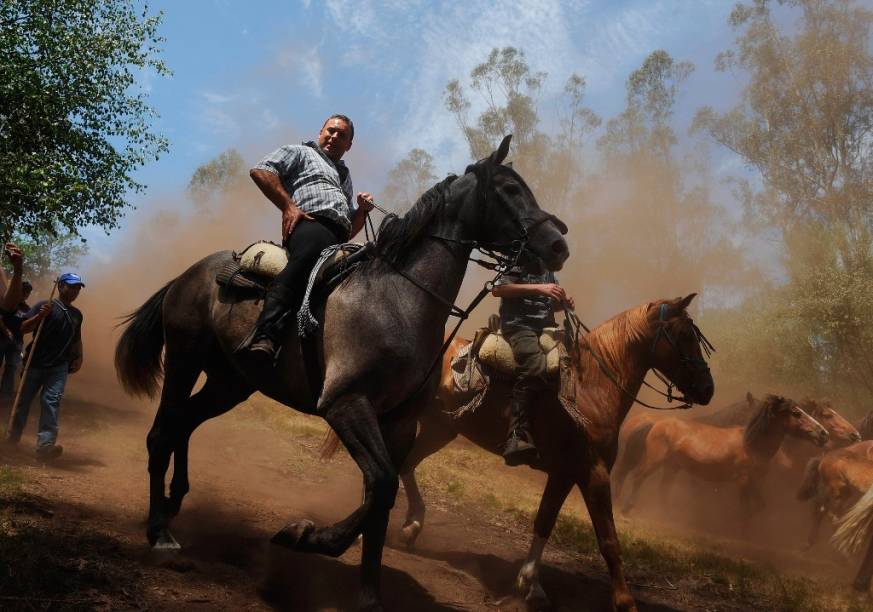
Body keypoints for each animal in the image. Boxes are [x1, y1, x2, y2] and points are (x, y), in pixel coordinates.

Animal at [114, 136, 564, 608]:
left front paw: (367, 595)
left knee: (183, 425)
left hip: (229, 383)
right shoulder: (345, 404)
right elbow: (381, 485)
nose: (559, 244)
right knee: (161, 434)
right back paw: (160, 532)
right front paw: (303, 535)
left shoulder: (399, 423)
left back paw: (174, 502)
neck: (397, 297)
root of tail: (191, 272)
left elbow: (380, 501)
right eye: (510, 189)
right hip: (184, 361)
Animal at [608, 392, 828, 520]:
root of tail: (656, 423)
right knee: (638, 477)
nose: (823, 434)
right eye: (796, 413)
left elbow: (758, 507)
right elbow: (746, 509)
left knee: (662, 488)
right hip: (655, 461)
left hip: (672, 467)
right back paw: (627, 508)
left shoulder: (754, 483)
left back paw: (666, 515)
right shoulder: (743, 481)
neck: (751, 445)